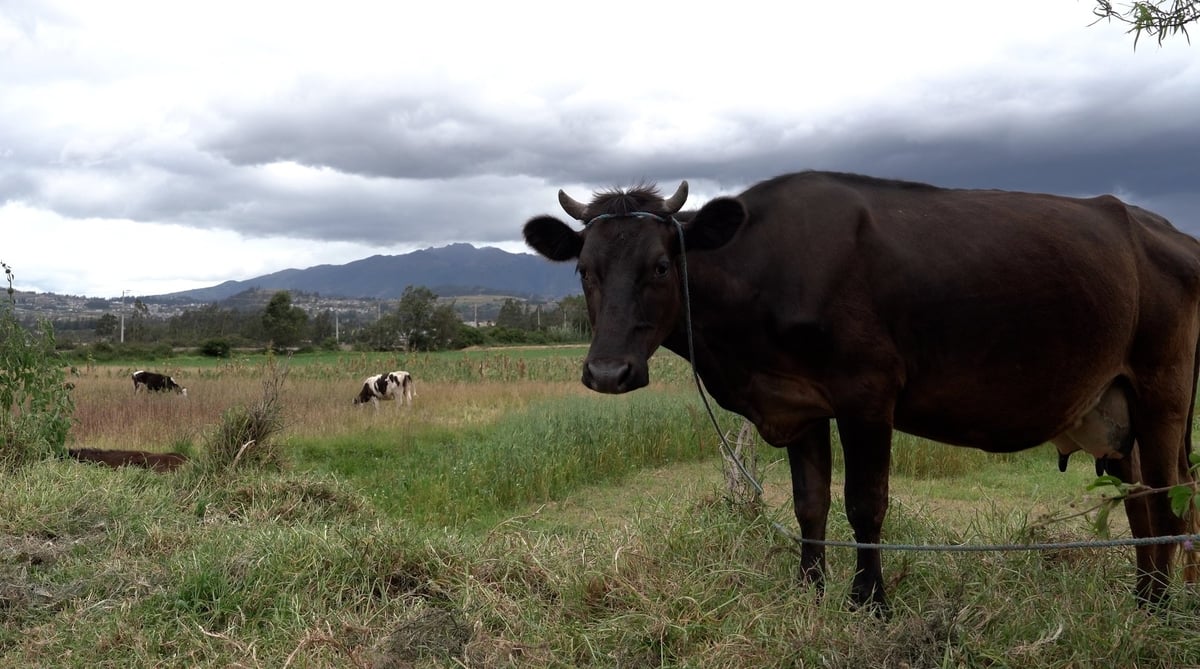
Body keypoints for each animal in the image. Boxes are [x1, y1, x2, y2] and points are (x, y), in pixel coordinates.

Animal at [523, 171, 1200, 612]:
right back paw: (1150, 596)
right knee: (1143, 503)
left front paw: (868, 602)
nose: (608, 373)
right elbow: (810, 503)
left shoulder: (867, 394)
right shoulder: (799, 404)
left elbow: (865, 505)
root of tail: (1166, 229)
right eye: (584, 270)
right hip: (1116, 406)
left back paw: (1157, 611)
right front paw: (809, 590)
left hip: (1161, 387)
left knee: (1168, 498)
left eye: (662, 266)